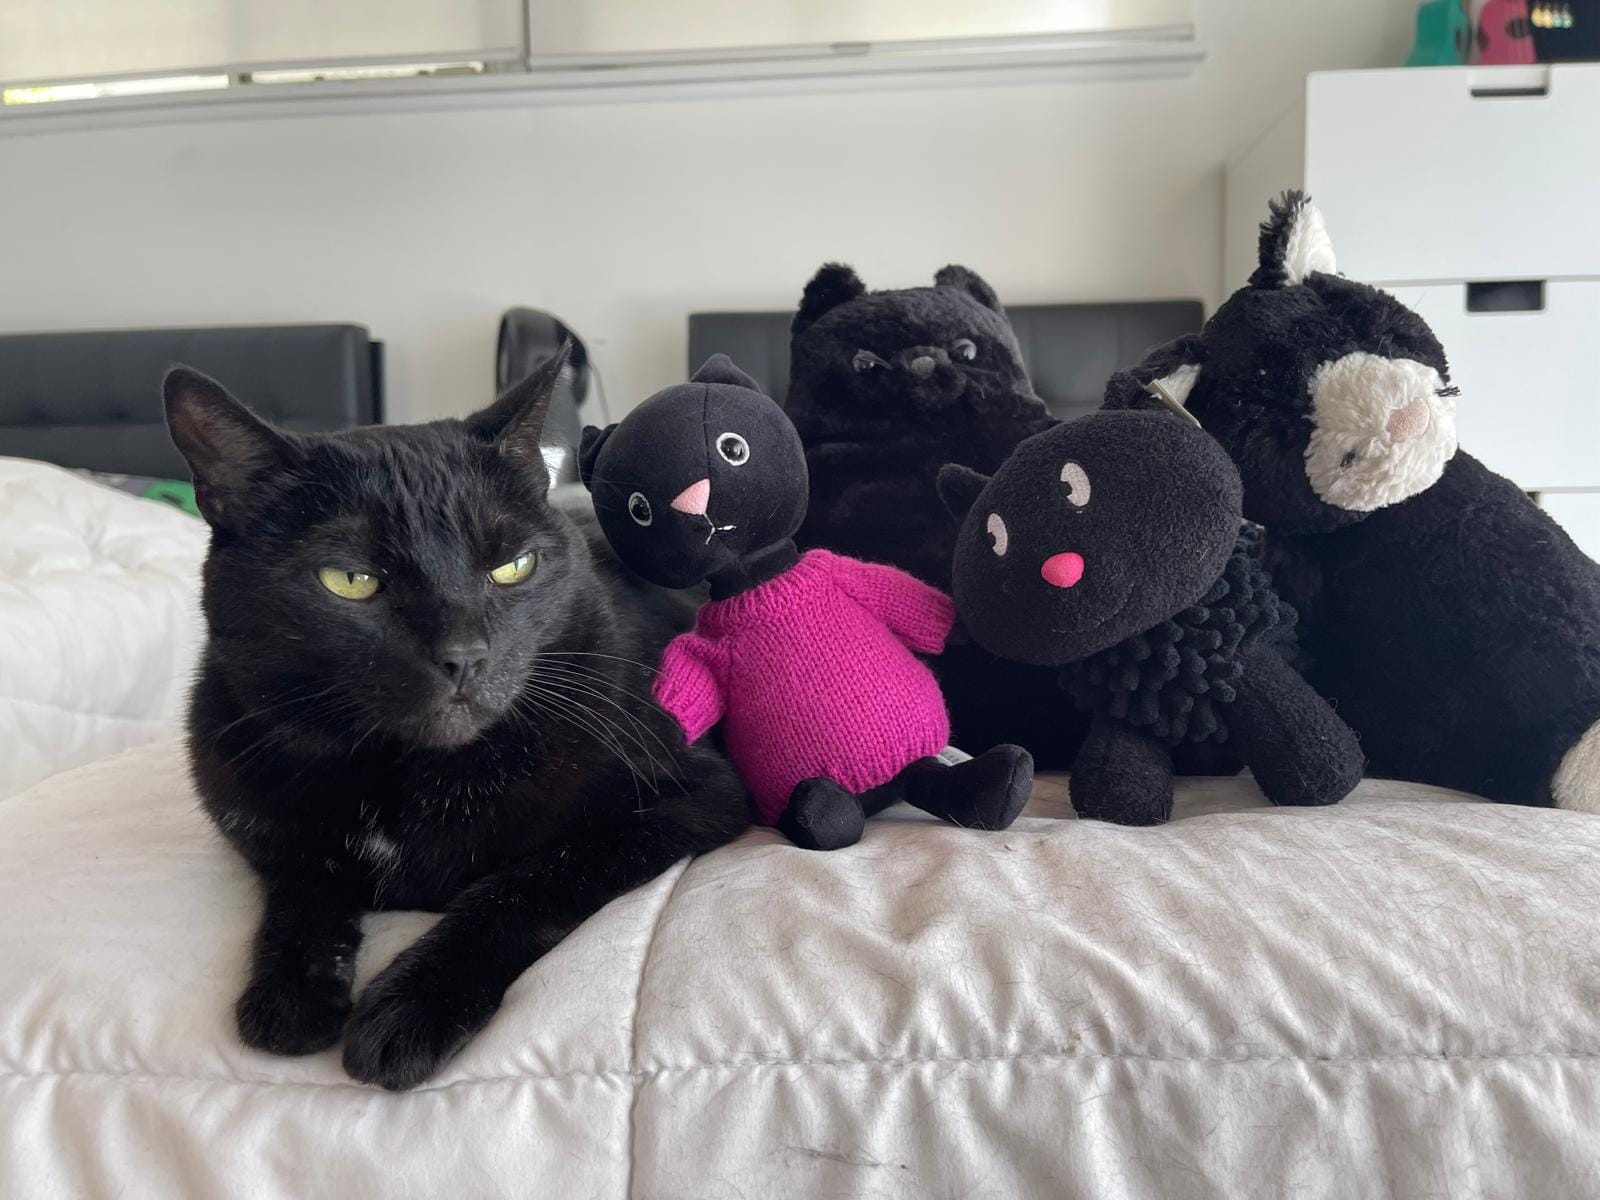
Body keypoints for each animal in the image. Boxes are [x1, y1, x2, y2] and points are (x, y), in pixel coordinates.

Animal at [165, 347, 752, 1088]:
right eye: (349, 581)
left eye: (513, 566)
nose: (464, 655)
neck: (405, 775)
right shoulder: (262, 819)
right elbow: (304, 881)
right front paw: (289, 993)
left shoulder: (691, 795)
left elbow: (530, 881)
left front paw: (410, 1007)